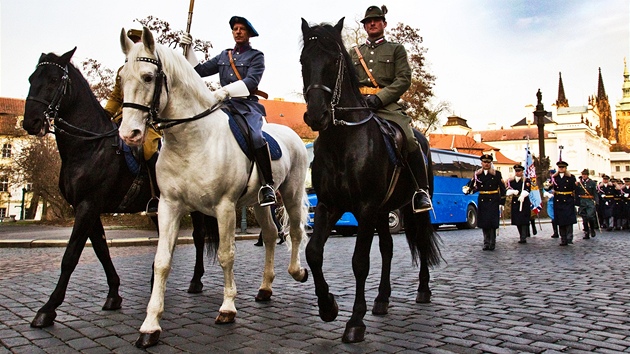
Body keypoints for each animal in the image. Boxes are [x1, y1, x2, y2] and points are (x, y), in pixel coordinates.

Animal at [21, 47, 220, 330]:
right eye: (31, 79)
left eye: (53, 80)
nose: (31, 121)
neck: (90, 146)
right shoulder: (88, 208)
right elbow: (102, 250)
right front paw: (114, 293)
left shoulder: (88, 206)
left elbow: (70, 255)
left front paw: (48, 308)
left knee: (198, 237)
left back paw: (195, 280)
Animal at [119, 27, 312, 348]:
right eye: (121, 78)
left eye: (147, 77)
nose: (128, 133)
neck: (191, 138)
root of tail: (292, 135)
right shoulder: (169, 206)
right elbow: (162, 262)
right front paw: (150, 326)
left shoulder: (224, 208)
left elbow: (226, 255)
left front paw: (228, 307)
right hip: (259, 203)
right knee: (271, 235)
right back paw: (265, 287)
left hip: (293, 193)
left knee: (295, 231)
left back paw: (297, 271)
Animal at [302, 19, 444, 342]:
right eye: (304, 61)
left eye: (334, 61)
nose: (316, 116)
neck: (342, 140)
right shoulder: (330, 206)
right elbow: (313, 252)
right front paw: (327, 306)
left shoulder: (365, 209)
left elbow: (360, 262)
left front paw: (355, 321)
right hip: (383, 211)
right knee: (388, 249)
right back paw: (381, 299)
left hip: (413, 208)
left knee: (419, 240)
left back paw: (423, 290)